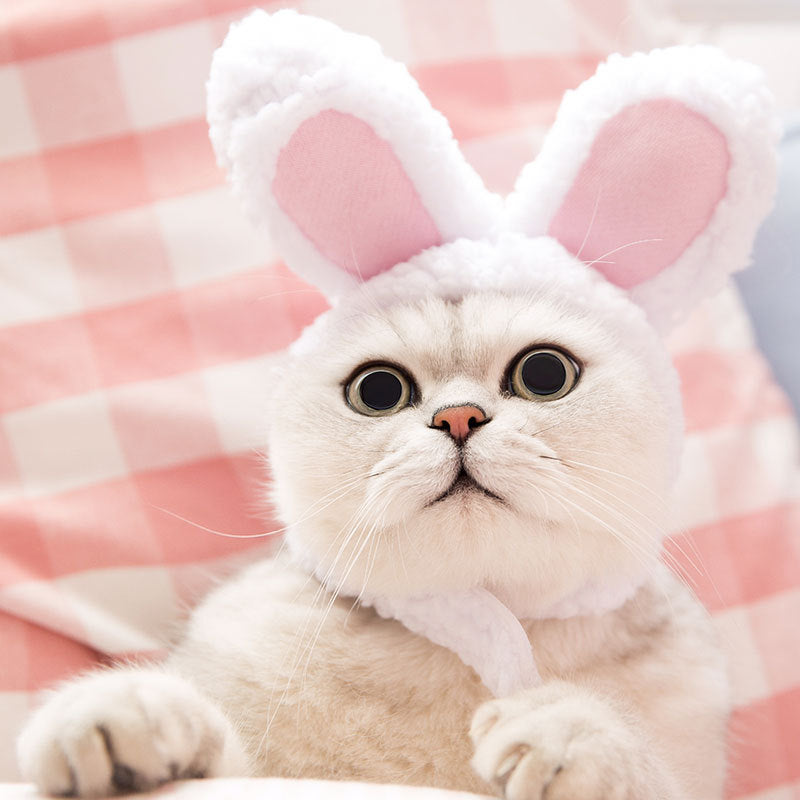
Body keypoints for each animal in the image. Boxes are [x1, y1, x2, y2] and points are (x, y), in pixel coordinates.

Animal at [15, 12, 776, 800]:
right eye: (378, 390)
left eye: (544, 374)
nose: (458, 418)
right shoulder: (261, 752)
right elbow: (214, 747)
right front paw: (124, 713)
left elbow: (636, 761)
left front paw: (570, 730)